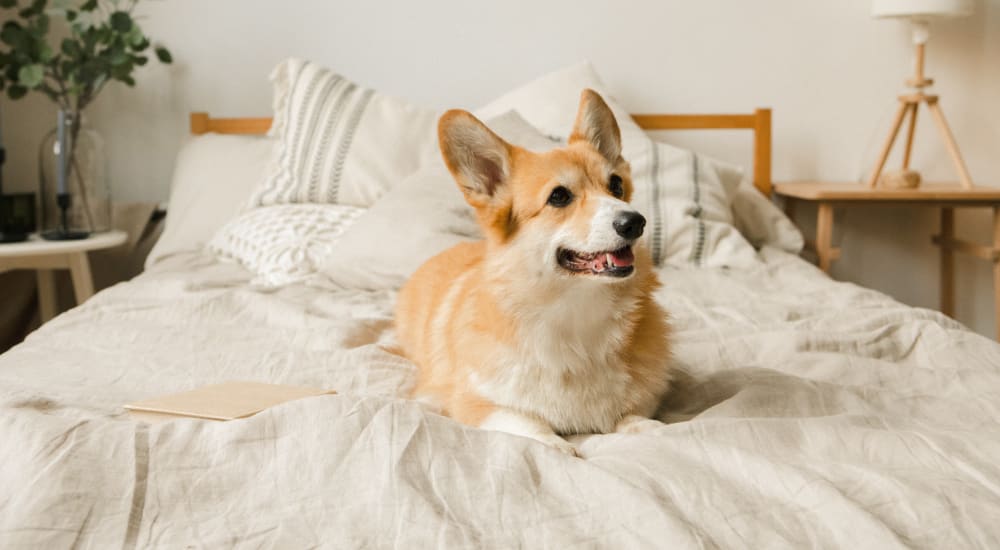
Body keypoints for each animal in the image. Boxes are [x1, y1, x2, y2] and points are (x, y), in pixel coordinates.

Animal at [396, 88, 672, 454]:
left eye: (616, 185)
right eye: (559, 197)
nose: (635, 222)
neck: (575, 313)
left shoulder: (643, 400)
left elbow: (633, 416)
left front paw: (652, 430)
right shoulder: (475, 403)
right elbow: (528, 422)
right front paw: (558, 446)